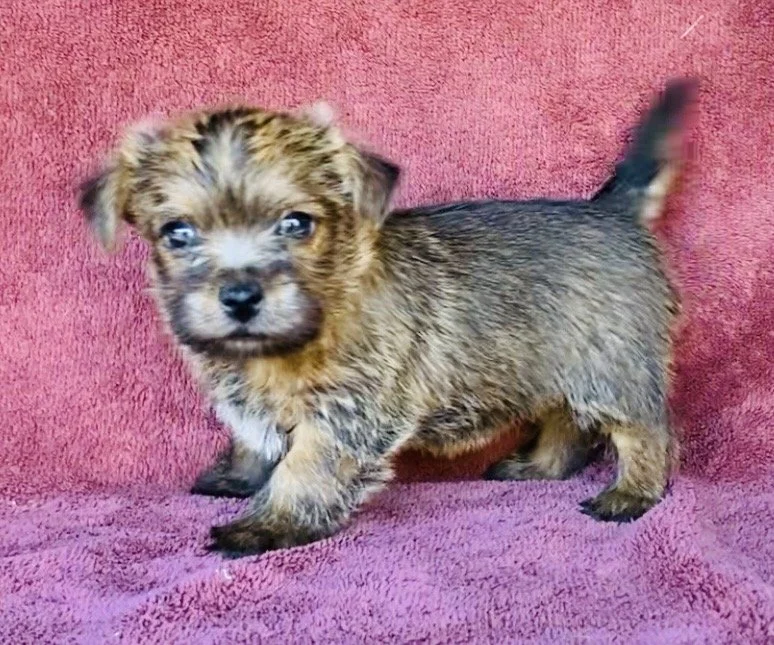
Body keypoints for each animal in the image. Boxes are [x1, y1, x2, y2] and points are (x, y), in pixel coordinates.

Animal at [80, 80, 694, 556]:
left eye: (297, 224)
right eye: (177, 233)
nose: (239, 296)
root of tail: (610, 212)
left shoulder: (345, 413)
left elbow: (304, 468)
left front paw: (269, 524)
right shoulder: (247, 397)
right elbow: (252, 437)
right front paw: (236, 476)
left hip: (616, 367)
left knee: (647, 432)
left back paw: (630, 494)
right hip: (554, 368)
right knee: (566, 422)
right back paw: (538, 468)